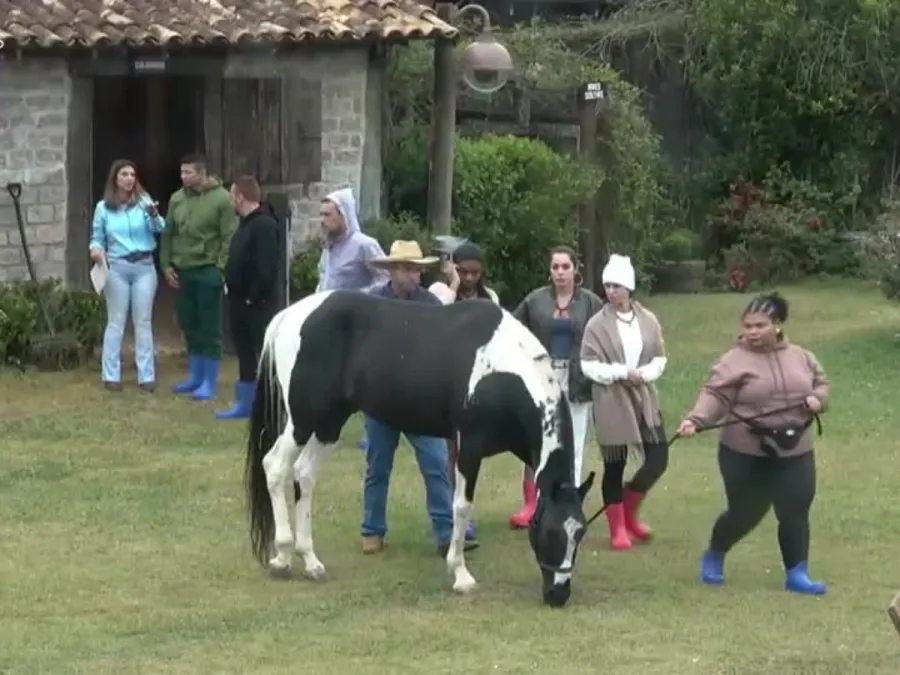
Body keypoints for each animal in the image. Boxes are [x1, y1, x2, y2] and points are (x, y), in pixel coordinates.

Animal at [244, 290, 596, 608]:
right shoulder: (470, 446)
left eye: (579, 533)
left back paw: (311, 561)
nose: (558, 595)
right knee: (275, 466)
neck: (502, 370)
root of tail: (289, 315)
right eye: (550, 532)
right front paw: (461, 576)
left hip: (329, 423)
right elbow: (461, 506)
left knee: (304, 474)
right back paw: (282, 558)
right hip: (304, 419)